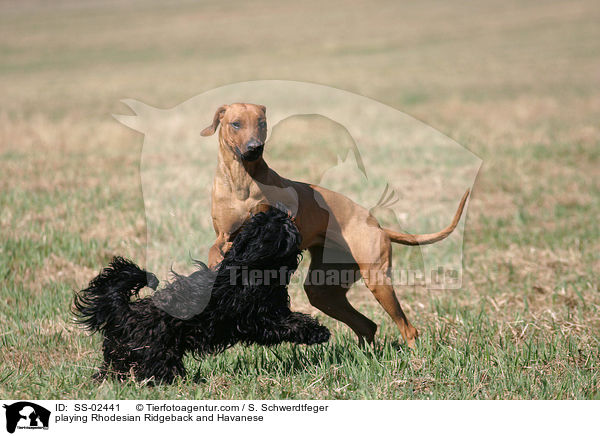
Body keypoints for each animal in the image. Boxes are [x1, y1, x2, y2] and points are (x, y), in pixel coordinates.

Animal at [74, 208, 332, 382]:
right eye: (283, 224)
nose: (281, 210)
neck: (250, 264)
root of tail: (124, 312)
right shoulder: (259, 320)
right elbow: (291, 324)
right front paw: (319, 333)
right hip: (156, 354)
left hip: (121, 355)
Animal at [202, 103, 468, 348]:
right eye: (236, 124)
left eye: (262, 123)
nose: (254, 147)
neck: (242, 179)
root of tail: (378, 226)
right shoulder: (224, 233)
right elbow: (215, 248)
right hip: (322, 291)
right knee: (367, 325)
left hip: (377, 280)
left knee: (407, 329)